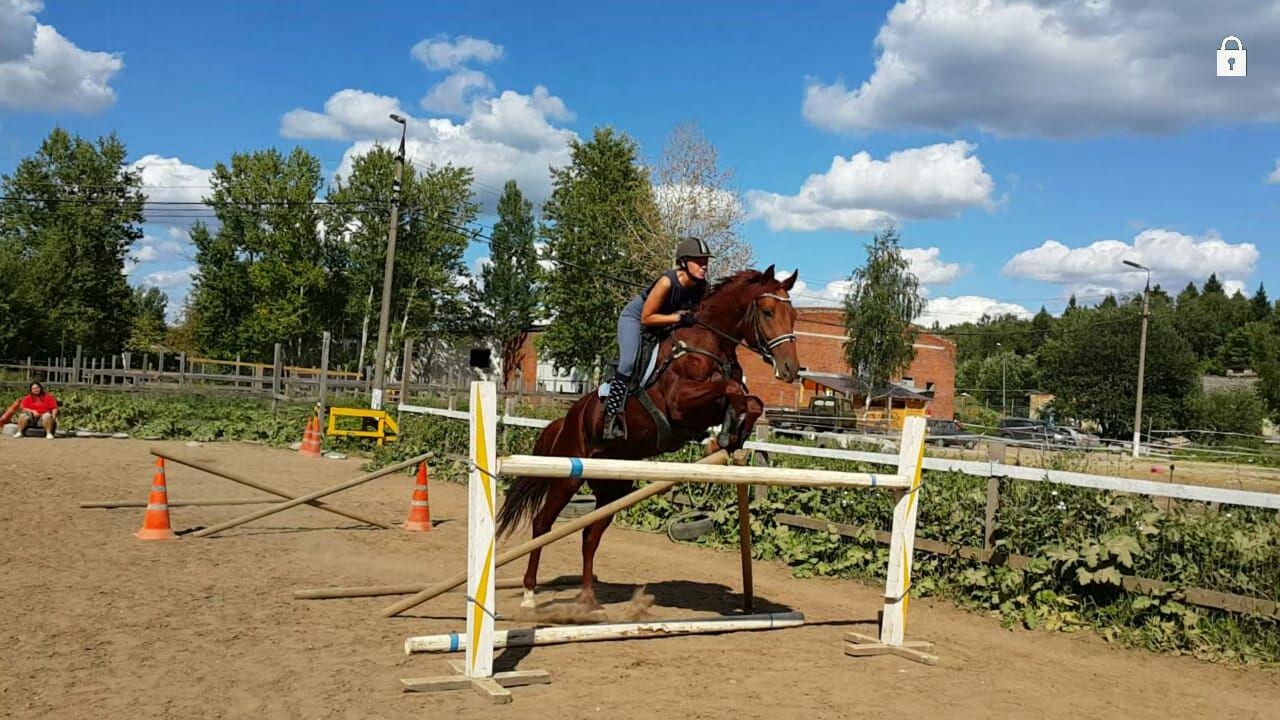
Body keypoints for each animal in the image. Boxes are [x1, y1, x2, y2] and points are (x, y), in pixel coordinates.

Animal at [491, 263, 798, 604]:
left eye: (794, 315)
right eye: (768, 312)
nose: (790, 369)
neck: (707, 342)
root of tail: (567, 419)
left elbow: (751, 401)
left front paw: (731, 436)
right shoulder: (680, 404)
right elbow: (730, 388)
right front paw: (724, 436)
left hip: (612, 488)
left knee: (589, 535)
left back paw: (588, 599)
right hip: (568, 476)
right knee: (542, 523)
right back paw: (529, 592)